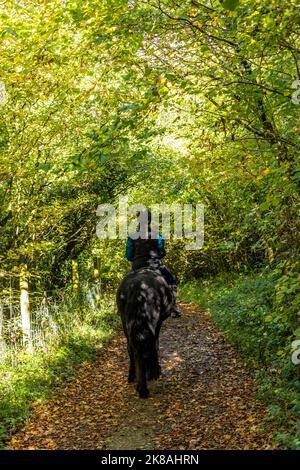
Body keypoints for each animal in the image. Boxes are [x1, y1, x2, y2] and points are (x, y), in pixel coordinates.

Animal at [117, 268, 173, 396]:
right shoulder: (158, 322)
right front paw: (155, 371)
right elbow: (155, 344)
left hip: (126, 323)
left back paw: (135, 380)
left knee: (133, 349)